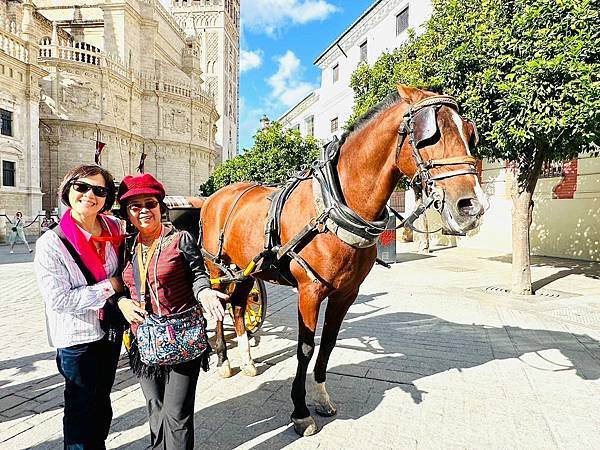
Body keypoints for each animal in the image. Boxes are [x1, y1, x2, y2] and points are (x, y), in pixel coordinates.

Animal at [202, 85, 488, 436]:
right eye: (427, 136)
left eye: (470, 133)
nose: (472, 206)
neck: (335, 205)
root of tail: (216, 196)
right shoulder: (310, 292)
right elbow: (305, 348)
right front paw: (300, 411)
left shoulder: (346, 293)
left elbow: (328, 344)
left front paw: (321, 398)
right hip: (216, 268)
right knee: (218, 309)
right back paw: (224, 362)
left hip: (245, 272)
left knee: (240, 307)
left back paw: (247, 361)